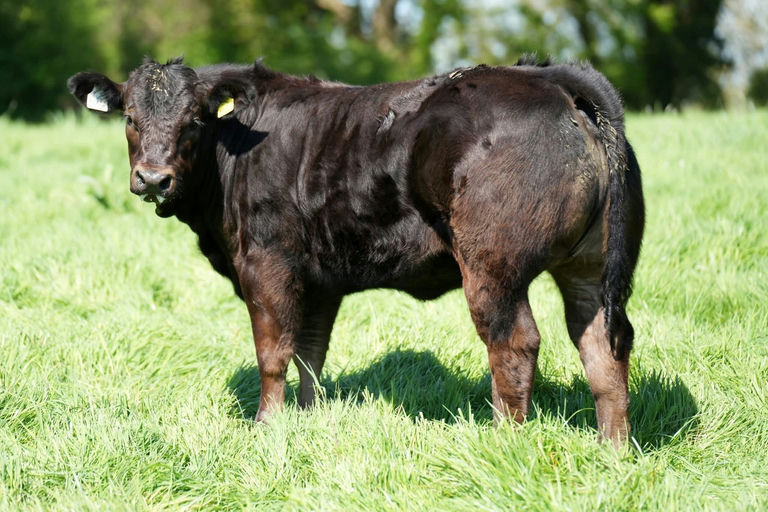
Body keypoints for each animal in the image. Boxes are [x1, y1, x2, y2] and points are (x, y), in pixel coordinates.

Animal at [68, 56, 644, 444]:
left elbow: (273, 352)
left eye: (194, 120)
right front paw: (306, 419)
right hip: (590, 269)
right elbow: (310, 354)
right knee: (602, 346)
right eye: (130, 118)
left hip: (492, 268)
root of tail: (546, 76)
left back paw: (500, 442)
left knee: (515, 344)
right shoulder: (320, 279)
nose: (153, 178)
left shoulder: (267, 261)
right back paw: (611, 450)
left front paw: (265, 427)